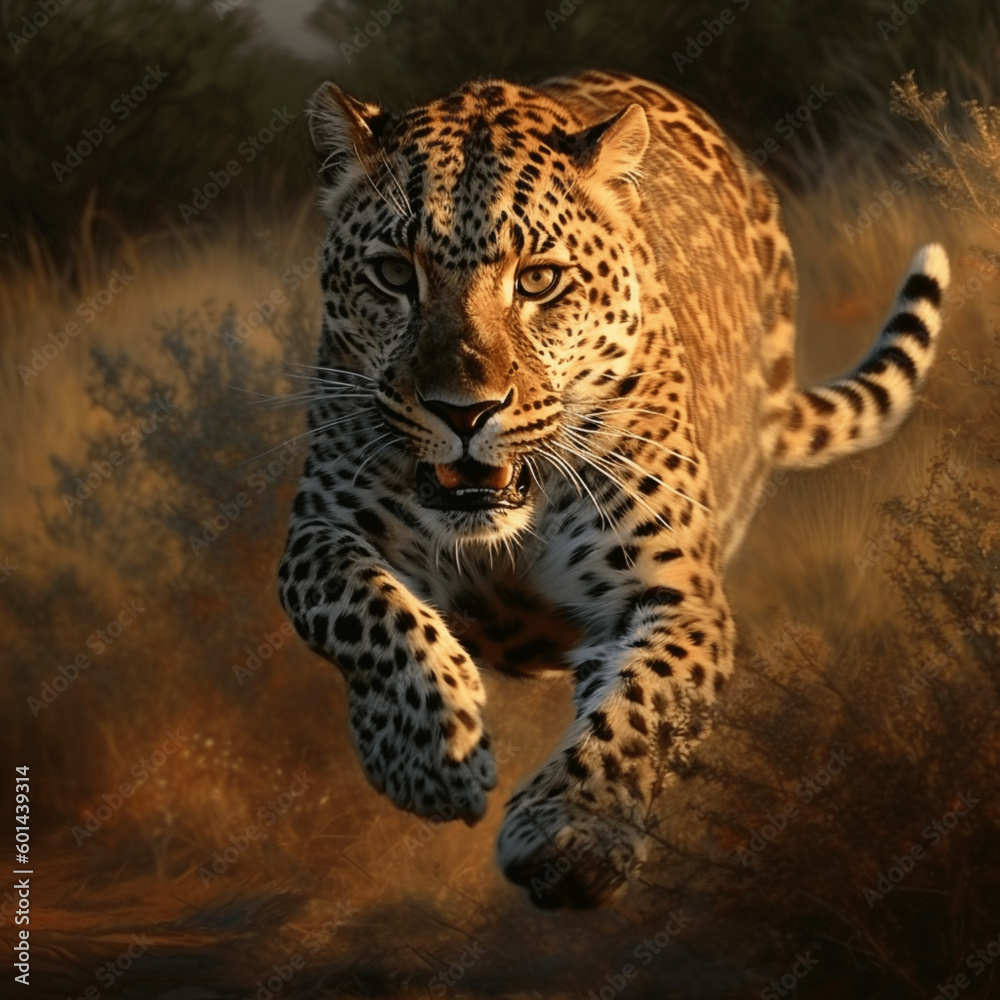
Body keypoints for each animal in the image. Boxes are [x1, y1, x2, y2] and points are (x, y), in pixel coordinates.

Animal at [276, 68, 949, 908]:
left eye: (539, 280)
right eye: (395, 273)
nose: (464, 410)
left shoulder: (673, 594)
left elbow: (642, 705)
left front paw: (573, 829)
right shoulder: (322, 530)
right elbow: (366, 610)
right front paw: (426, 754)